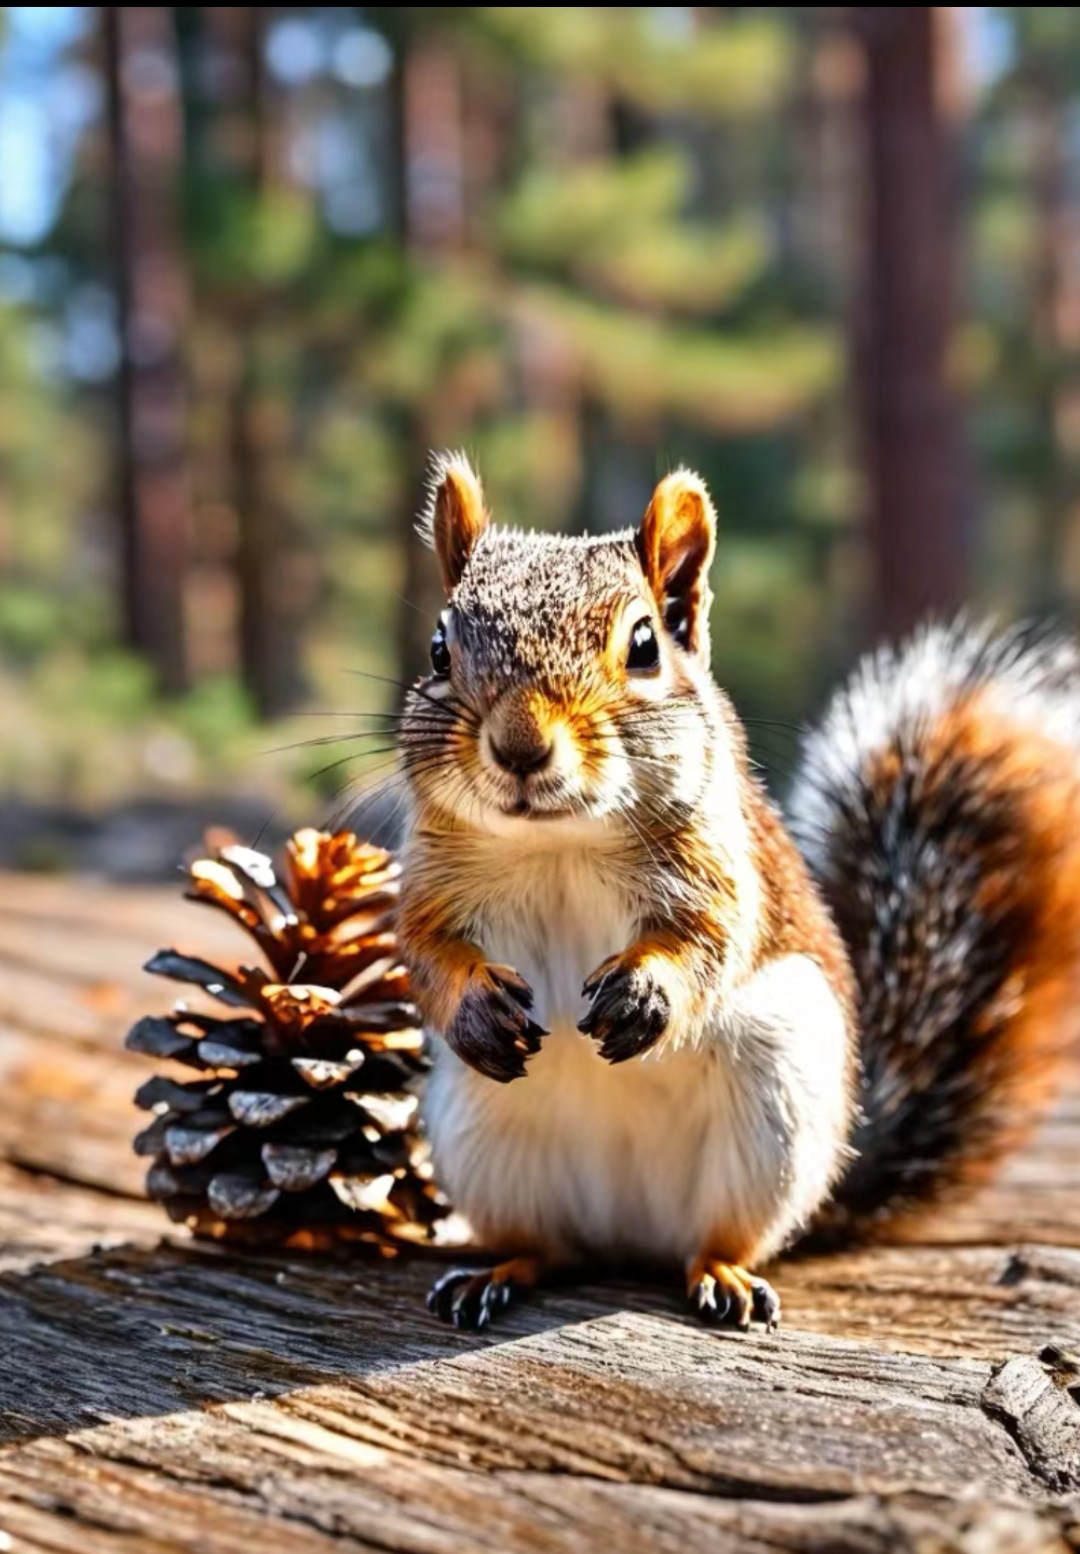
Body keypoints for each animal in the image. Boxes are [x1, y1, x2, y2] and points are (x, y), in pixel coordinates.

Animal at [393, 453, 1080, 1336]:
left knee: (720, 1237)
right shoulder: (431, 874)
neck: (559, 844)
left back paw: (723, 1274)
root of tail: (628, 1233)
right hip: (482, 1138)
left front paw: (646, 994)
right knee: (548, 1245)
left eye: (643, 645)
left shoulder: (725, 865)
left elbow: (712, 939)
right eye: (439, 650)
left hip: (774, 1108)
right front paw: (473, 1007)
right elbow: (423, 949)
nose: (519, 747)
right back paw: (499, 1269)